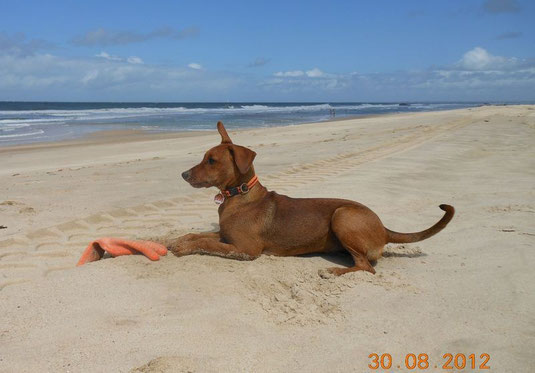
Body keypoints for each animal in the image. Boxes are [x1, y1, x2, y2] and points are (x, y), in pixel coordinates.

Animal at [176, 120, 456, 274]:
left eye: (211, 161)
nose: (183, 174)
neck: (240, 196)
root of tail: (384, 228)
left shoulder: (245, 250)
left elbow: (207, 243)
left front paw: (183, 247)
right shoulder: (226, 235)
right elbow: (198, 235)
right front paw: (179, 239)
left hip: (343, 215)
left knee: (367, 268)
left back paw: (332, 271)